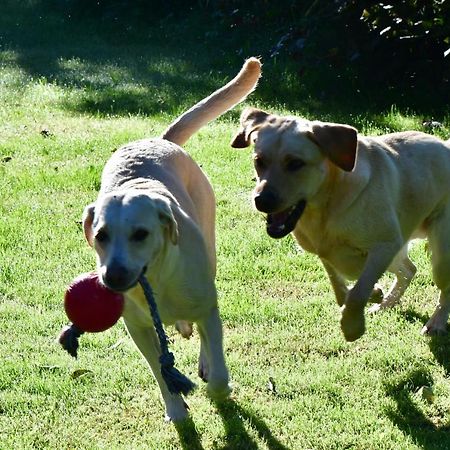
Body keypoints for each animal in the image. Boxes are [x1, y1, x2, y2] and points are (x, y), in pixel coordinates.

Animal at [82, 58, 262, 420]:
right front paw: (176, 410)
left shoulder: (208, 307)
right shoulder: (137, 327)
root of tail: (160, 139)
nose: (114, 276)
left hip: (209, 246)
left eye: (141, 234)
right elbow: (158, 368)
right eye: (100, 236)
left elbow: (217, 368)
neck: (156, 282)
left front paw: (219, 389)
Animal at [232, 107, 450, 342]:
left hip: (440, 254)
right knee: (409, 270)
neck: (327, 206)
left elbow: (357, 292)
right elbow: (340, 288)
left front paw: (352, 326)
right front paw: (374, 293)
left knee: (444, 289)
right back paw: (384, 304)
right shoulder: (327, 252)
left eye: (295, 163)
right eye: (259, 160)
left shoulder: (384, 245)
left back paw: (436, 324)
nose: (261, 200)